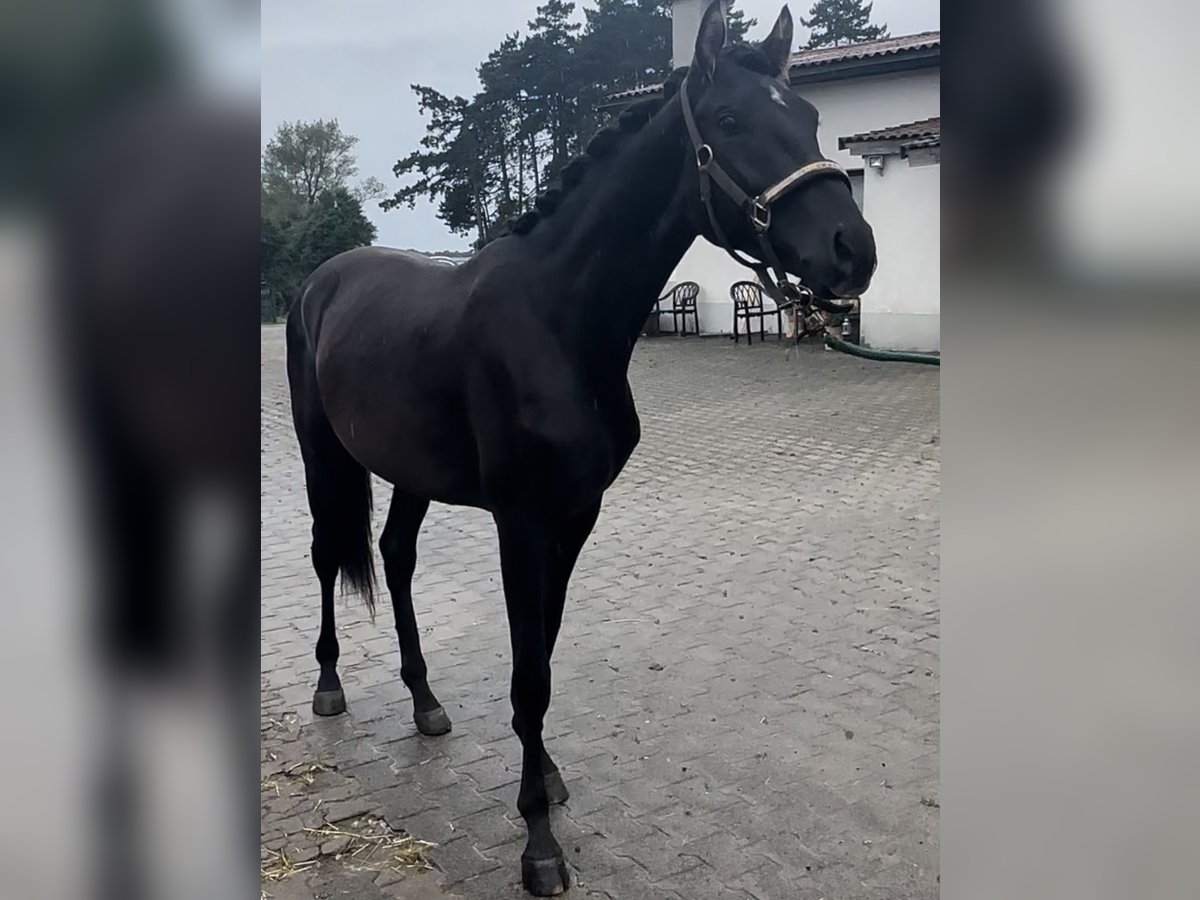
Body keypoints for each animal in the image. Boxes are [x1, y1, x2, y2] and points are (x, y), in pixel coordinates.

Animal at [288, 5, 873, 897]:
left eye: (808, 117)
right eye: (731, 121)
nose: (854, 249)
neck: (558, 321)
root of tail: (322, 280)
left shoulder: (577, 516)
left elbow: (547, 660)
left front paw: (549, 781)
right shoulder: (521, 523)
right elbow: (529, 674)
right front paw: (538, 843)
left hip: (412, 468)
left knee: (394, 554)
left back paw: (425, 702)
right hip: (322, 452)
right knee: (329, 556)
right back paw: (328, 686)